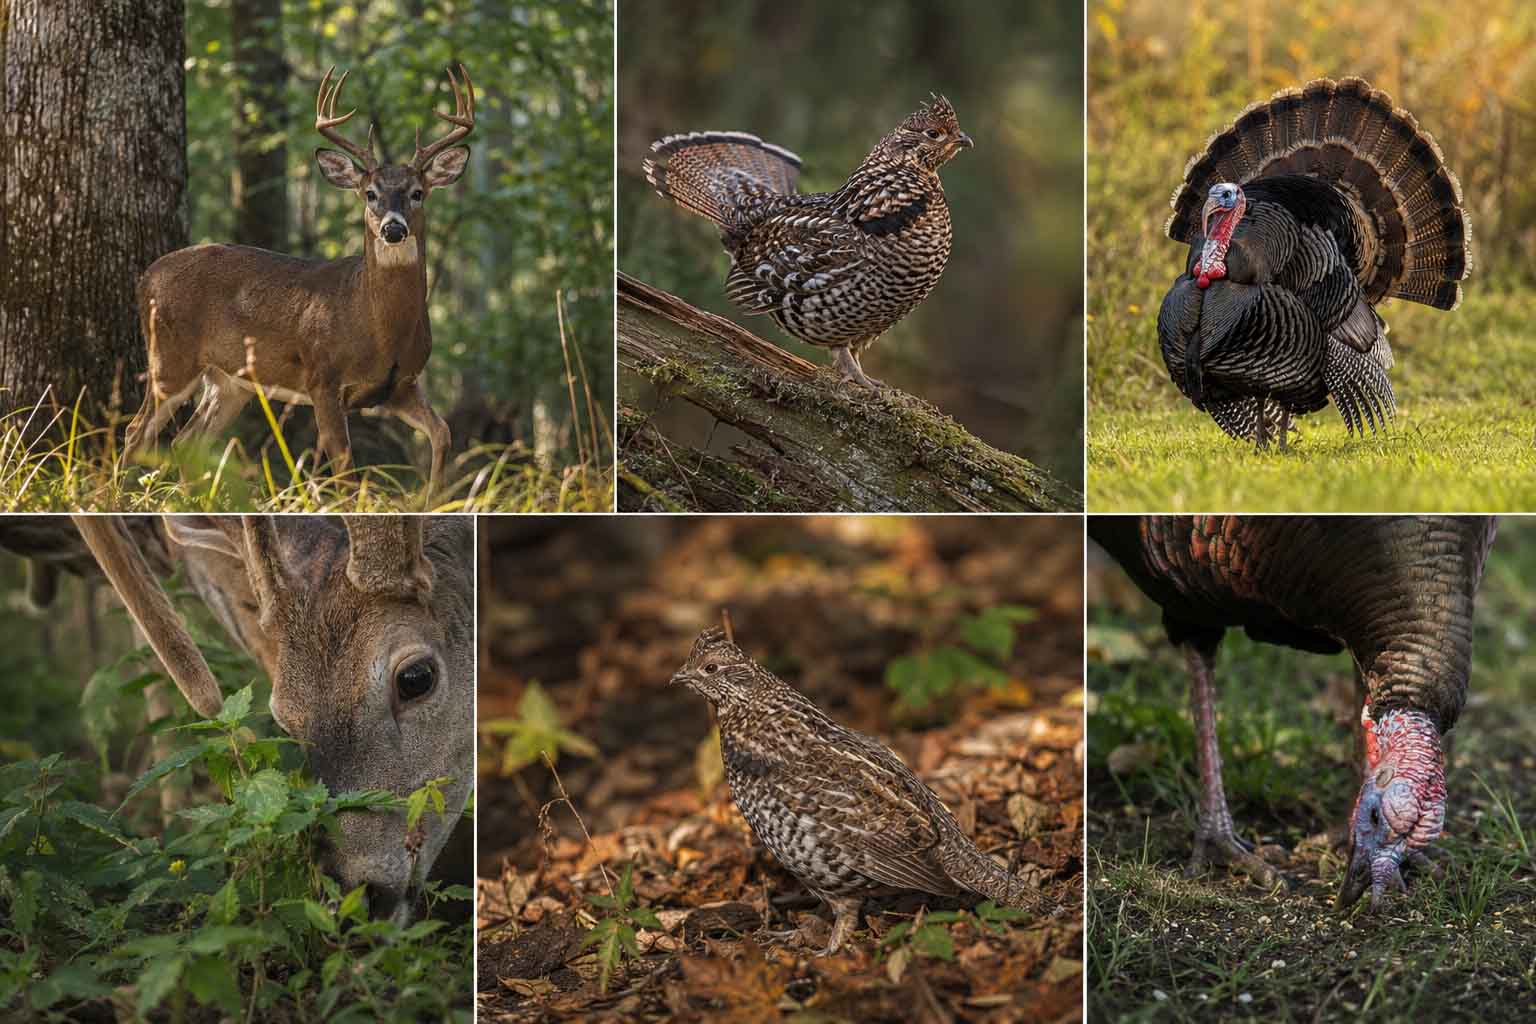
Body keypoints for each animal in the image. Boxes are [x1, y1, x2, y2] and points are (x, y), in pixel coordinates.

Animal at [122, 66, 477, 496]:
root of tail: (145, 277)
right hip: (170, 357)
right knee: (135, 431)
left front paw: (433, 500)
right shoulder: (322, 377)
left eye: (418, 193)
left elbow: (442, 433)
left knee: (185, 441)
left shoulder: (401, 385)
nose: (393, 229)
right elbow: (344, 470)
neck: (378, 328)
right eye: (369, 193)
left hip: (230, 382)